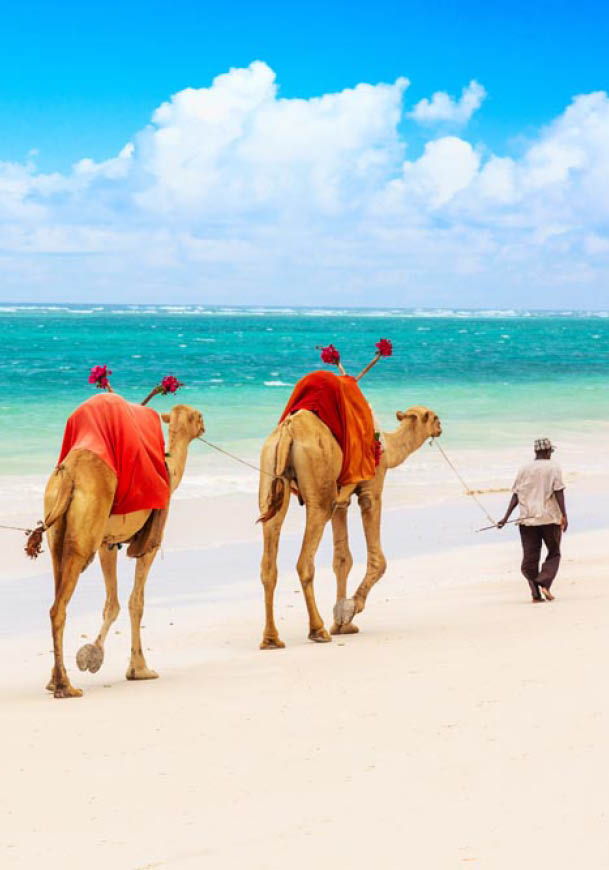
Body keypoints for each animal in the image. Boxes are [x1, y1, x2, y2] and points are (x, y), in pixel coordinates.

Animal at [37, 402, 204, 698]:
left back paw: (55, 680)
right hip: (84, 534)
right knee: (59, 607)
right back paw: (66, 687)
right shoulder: (148, 544)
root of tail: (69, 473)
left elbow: (111, 603)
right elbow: (135, 602)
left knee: (57, 593)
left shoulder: (108, 543)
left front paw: (92, 656)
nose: (204, 424)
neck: (169, 471)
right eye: (198, 416)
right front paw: (139, 669)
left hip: (56, 528)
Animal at [258, 405, 441, 648]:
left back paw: (271, 639)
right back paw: (317, 630)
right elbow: (378, 560)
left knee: (269, 560)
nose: (440, 428)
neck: (387, 447)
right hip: (319, 490)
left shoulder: (341, 502)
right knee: (305, 561)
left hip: (270, 474)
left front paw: (341, 624)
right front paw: (350, 609)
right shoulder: (371, 487)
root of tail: (289, 430)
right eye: (434, 417)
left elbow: (342, 560)